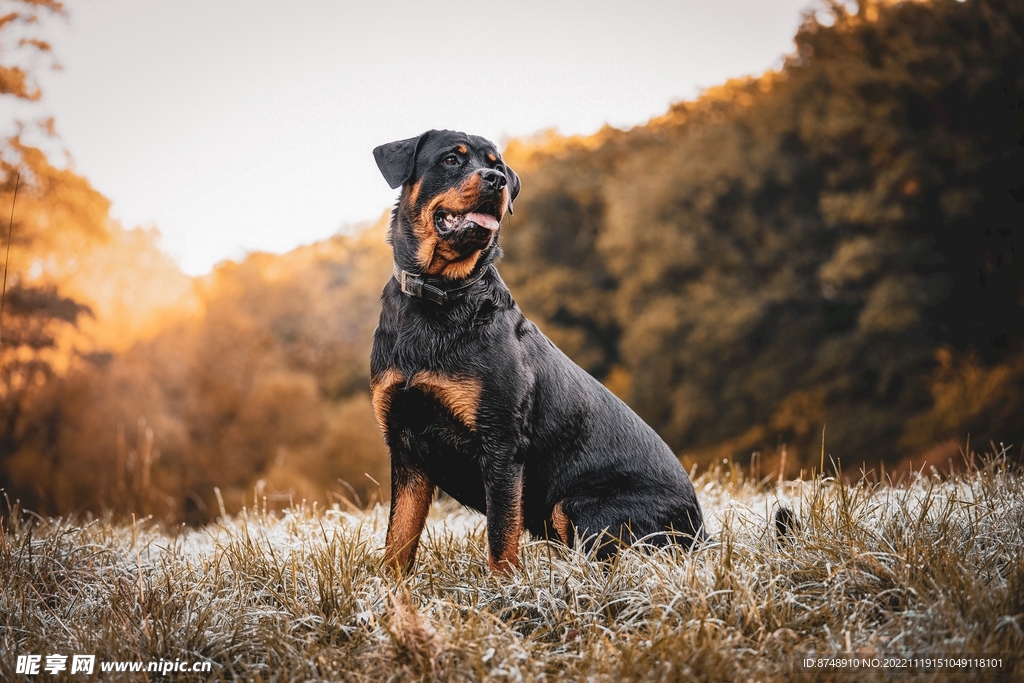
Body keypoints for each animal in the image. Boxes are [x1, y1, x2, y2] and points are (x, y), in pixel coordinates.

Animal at [372, 129, 708, 577]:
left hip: (578, 505)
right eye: (450, 160)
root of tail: (702, 532)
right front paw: (390, 590)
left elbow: (501, 538)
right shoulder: (406, 446)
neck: (440, 296)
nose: (496, 180)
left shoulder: (501, 444)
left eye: (496, 164)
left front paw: (502, 590)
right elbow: (399, 539)